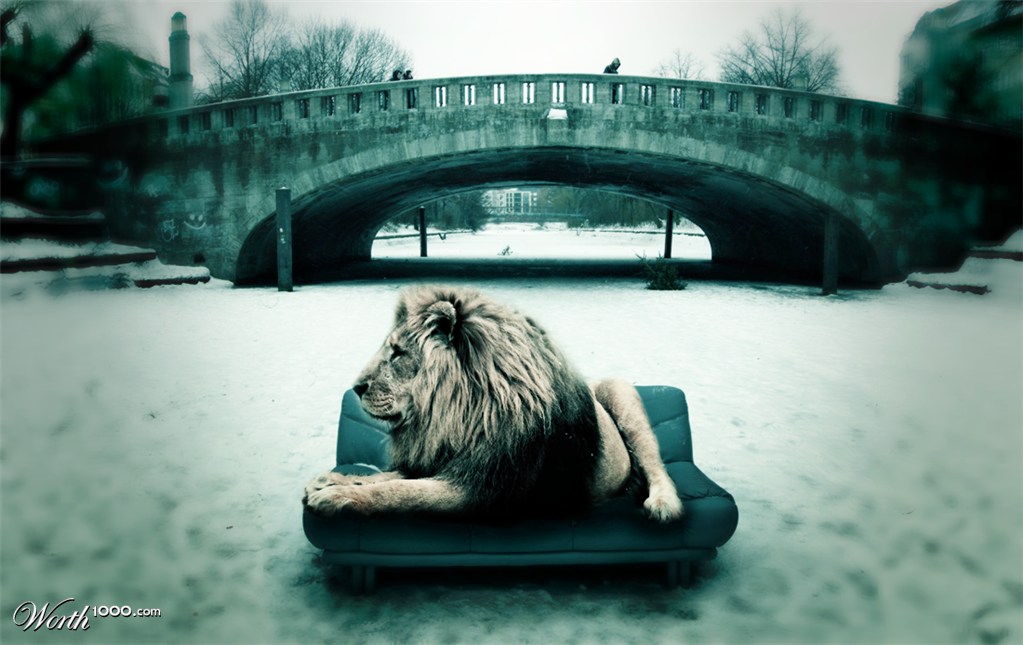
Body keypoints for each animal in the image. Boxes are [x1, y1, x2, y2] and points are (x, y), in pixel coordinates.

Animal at [303, 285, 683, 523]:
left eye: (398, 353)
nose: (356, 388)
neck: (460, 413)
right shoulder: (439, 458)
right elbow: (385, 477)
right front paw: (331, 481)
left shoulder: (484, 488)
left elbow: (399, 492)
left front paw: (335, 497)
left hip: (621, 395)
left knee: (657, 467)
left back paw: (663, 506)